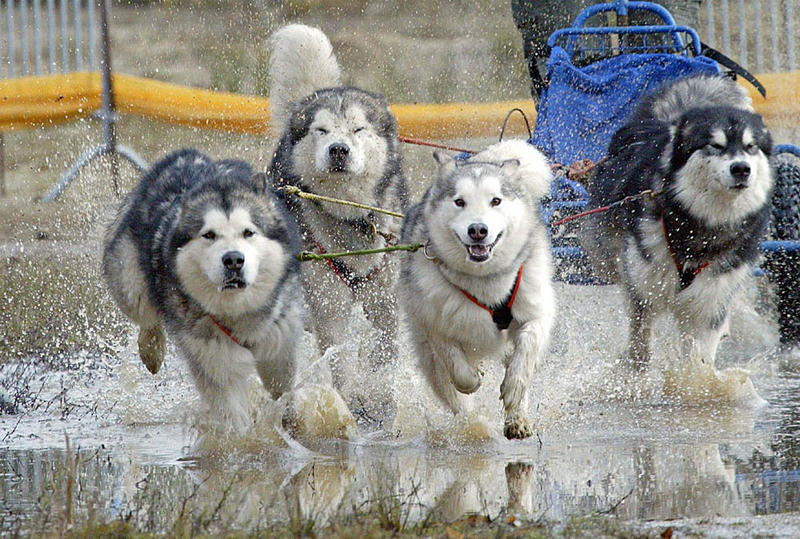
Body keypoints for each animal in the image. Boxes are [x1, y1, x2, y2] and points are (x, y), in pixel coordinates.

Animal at [103, 150, 304, 432]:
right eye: (208, 235)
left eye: (248, 232)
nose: (233, 259)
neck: (239, 313)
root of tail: (185, 155)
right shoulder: (213, 358)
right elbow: (231, 411)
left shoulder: (280, 342)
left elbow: (283, 390)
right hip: (130, 280)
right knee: (146, 315)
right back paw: (152, 350)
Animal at [580, 76, 776, 372]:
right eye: (715, 145)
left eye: (751, 146)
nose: (742, 168)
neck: (701, 226)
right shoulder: (644, 291)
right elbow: (640, 346)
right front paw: (632, 376)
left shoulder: (709, 302)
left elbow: (699, 360)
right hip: (607, 255)